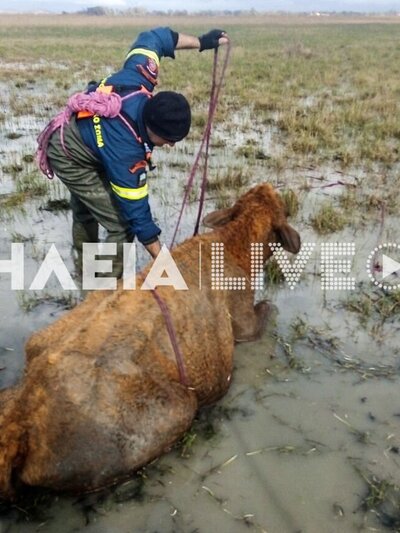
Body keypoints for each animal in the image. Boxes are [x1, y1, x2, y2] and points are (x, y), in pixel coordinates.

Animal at [0, 183, 300, 498]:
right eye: (284, 209)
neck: (236, 243)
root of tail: (20, 419)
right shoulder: (244, 320)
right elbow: (266, 310)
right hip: (180, 406)